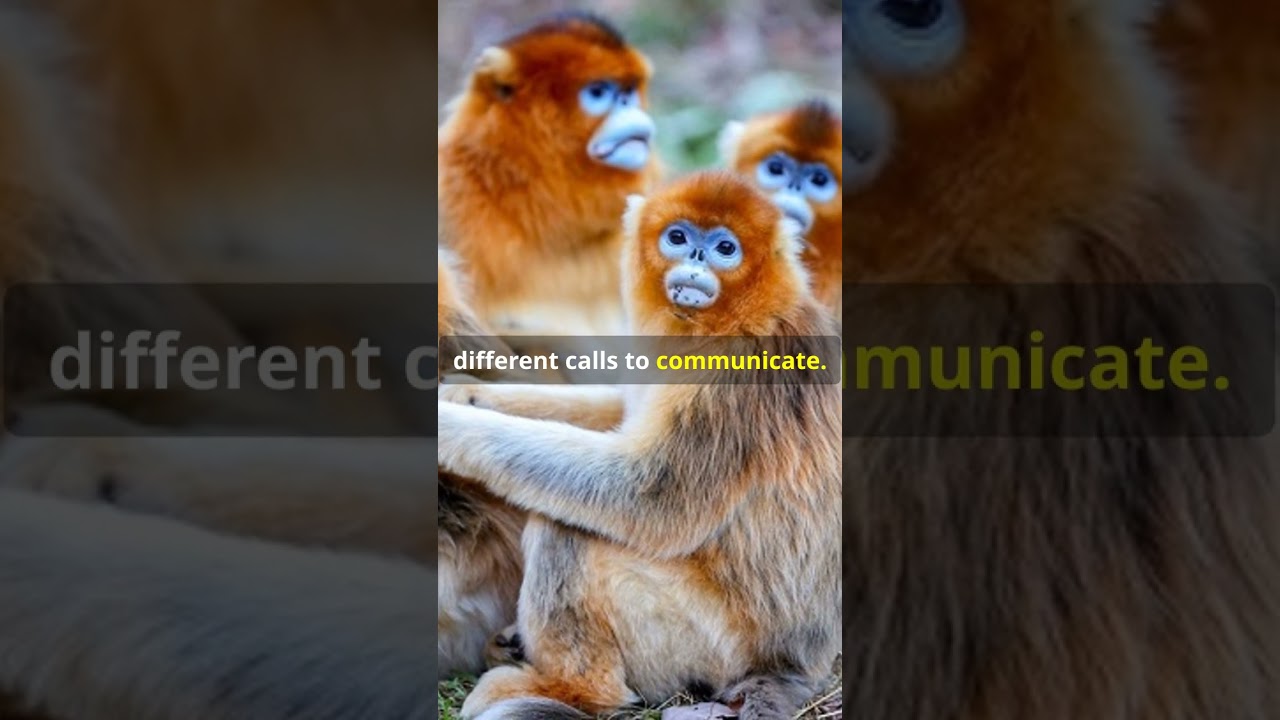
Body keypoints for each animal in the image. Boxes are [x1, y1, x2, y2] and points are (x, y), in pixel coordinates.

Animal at [436, 171, 842, 719]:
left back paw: (572, 689)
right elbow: (619, 414)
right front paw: (465, 391)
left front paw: (450, 425)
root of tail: (797, 666)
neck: (738, 316)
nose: (696, 258)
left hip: (707, 644)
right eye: (678, 237)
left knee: (569, 527)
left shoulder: (743, 373)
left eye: (725, 248)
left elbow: (649, 495)